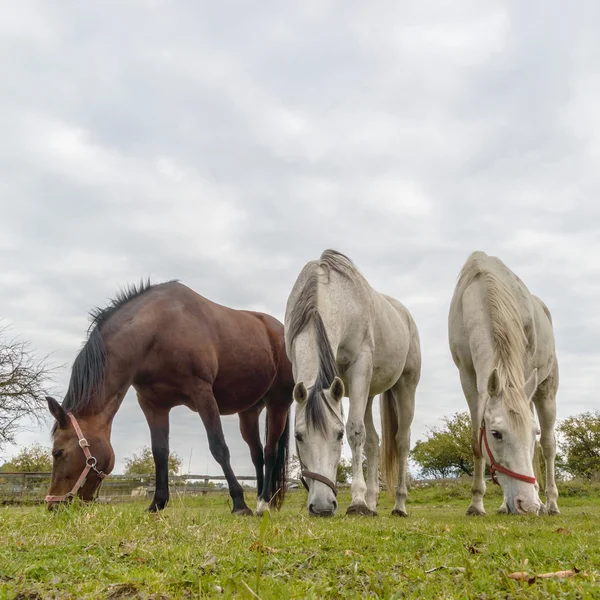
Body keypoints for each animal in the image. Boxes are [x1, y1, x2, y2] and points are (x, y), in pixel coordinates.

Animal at [44, 278, 292, 512]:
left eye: (58, 452)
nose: (53, 505)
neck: (158, 330)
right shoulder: (153, 404)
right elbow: (160, 452)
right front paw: (157, 503)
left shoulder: (202, 393)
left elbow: (219, 447)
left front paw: (239, 503)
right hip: (249, 412)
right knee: (257, 454)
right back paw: (260, 498)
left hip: (278, 403)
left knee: (270, 451)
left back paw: (263, 503)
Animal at [286, 248, 422, 516]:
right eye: (298, 436)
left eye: (338, 435)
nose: (322, 506)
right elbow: (365, 438)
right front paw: (363, 500)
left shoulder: (360, 366)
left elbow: (355, 431)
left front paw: (357, 501)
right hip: (368, 394)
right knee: (373, 443)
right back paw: (372, 502)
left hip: (405, 387)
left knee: (402, 441)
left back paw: (399, 504)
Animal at [448, 251, 560, 516]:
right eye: (495, 434)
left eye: (532, 432)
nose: (527, 504)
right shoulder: (467, 377)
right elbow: (475, 441)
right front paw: (476, 503)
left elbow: (538, 445)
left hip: (546, 391)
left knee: (548, 446)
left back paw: (551, 503)